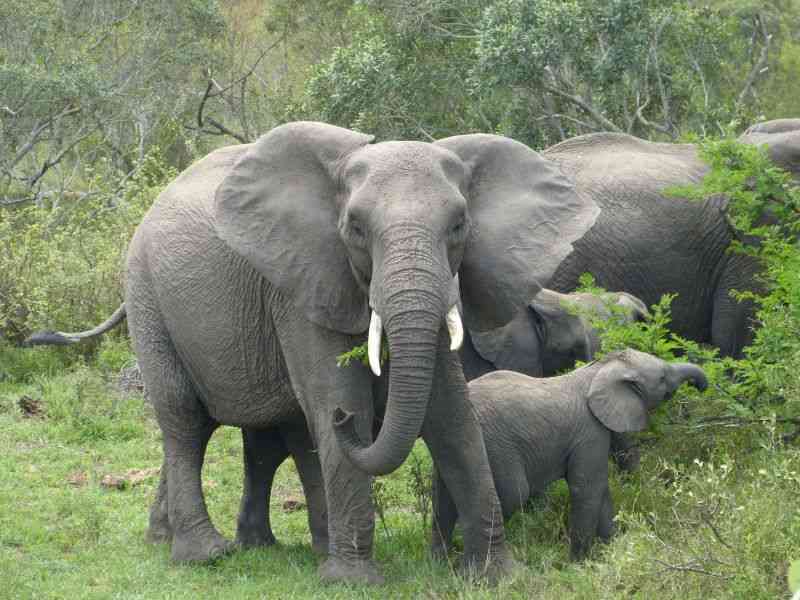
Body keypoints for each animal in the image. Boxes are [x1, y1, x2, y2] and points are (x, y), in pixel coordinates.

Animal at [26, 121, 599, 584]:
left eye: (459, 226)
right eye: (356, 229)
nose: (349, 423)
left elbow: (452, 415)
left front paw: (496, 577)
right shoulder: (302, 280)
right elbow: (334, 399)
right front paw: (354, 582)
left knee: (272, 438)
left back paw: (240, 545)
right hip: (148, 295)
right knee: (185, 419)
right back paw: (205, 555)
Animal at [431, 349, 708, 561]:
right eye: (663, 378)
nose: (703, 388)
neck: (599, 369)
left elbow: (600, 488)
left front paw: (609, 553)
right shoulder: (589, 432)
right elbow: (587, 487)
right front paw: (578, 563)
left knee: (442, 498)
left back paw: (441, 562)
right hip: (494, 441)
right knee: (513, 493)